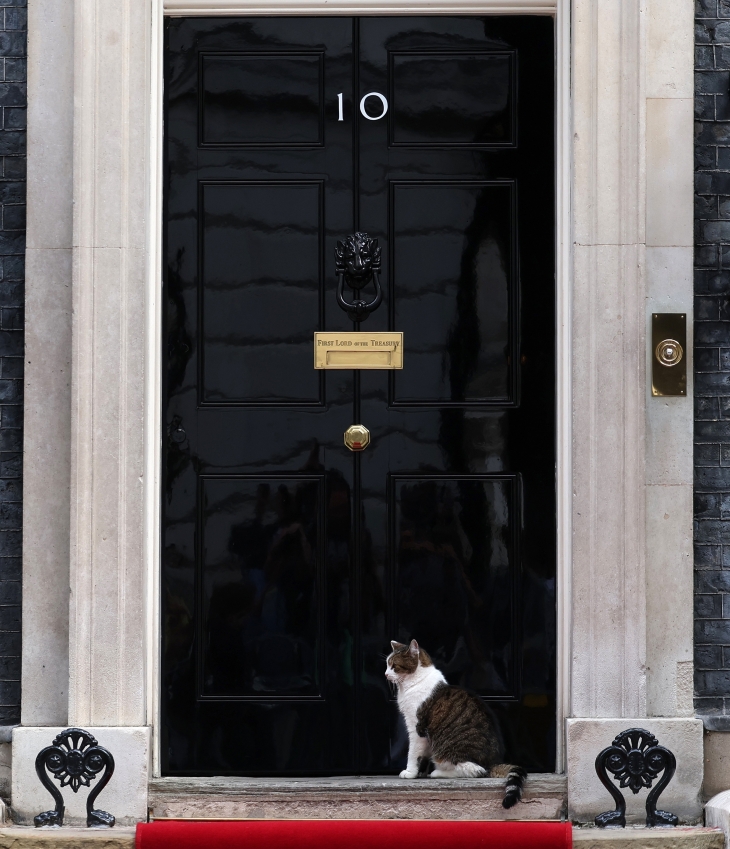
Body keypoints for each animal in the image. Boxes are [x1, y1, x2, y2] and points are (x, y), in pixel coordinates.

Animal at [384, 640, 528, 804]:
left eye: (394, 665)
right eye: (387, 664)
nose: (385, 674)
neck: (412, 683)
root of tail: (493, 763)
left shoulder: (416, 728)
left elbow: (413, 753)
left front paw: (410, 772)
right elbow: (423, 755)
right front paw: (420, 773)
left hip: (447, 751)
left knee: (475, 771)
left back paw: (437, 773)